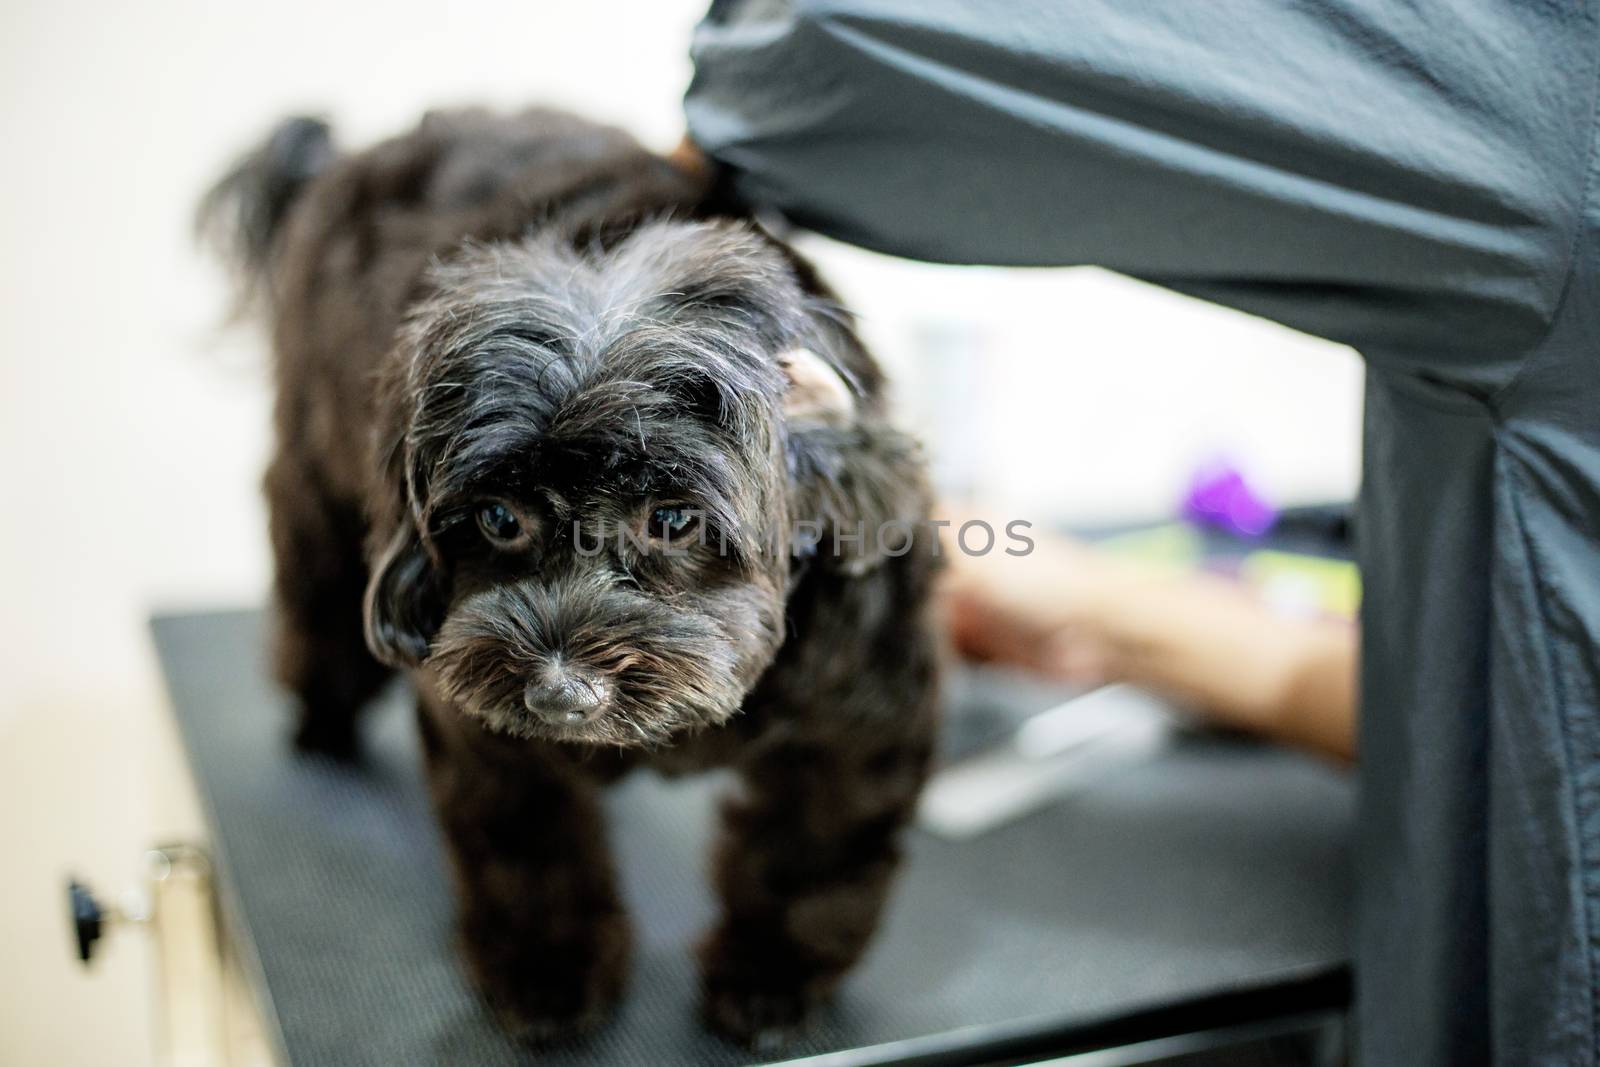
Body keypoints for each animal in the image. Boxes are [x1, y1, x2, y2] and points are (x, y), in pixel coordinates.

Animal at [204, 110, 940, 1049]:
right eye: (498, 518)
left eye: (672, 518)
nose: (560, 694)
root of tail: (348, 157)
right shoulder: (484, 719)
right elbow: (530, 846)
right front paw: (547, 972)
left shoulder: (862, 709)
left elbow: (811, 853)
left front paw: (770, 977)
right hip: (318, 471)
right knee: (318, 590)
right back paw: (320, 715)